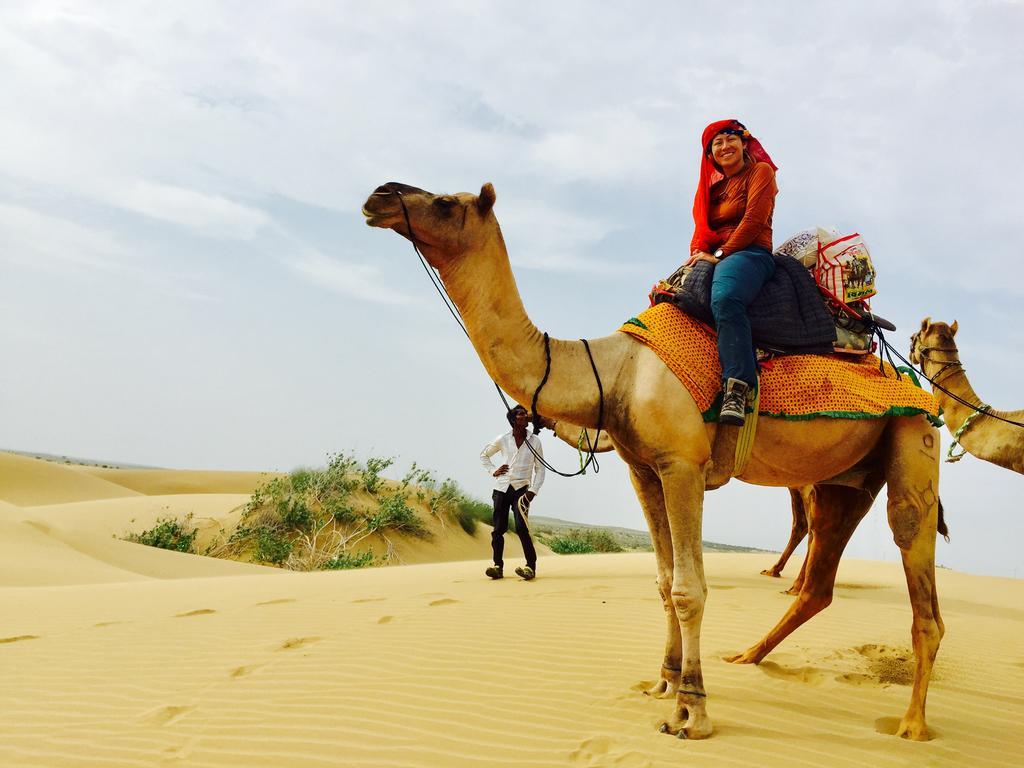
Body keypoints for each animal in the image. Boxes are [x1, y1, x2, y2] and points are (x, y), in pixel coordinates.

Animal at [364, 180, 946, 741]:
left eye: (445, 203)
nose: (379, 197)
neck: (616, 371)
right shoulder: (642, 470)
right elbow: (664, 583)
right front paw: (663, 682)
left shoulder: (681, 464)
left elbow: (690, 589)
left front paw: (691, 711)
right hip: (843, 481)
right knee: (820, 575)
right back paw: (747, 656)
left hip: (913, 437)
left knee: (913, 558)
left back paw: (913, 724)